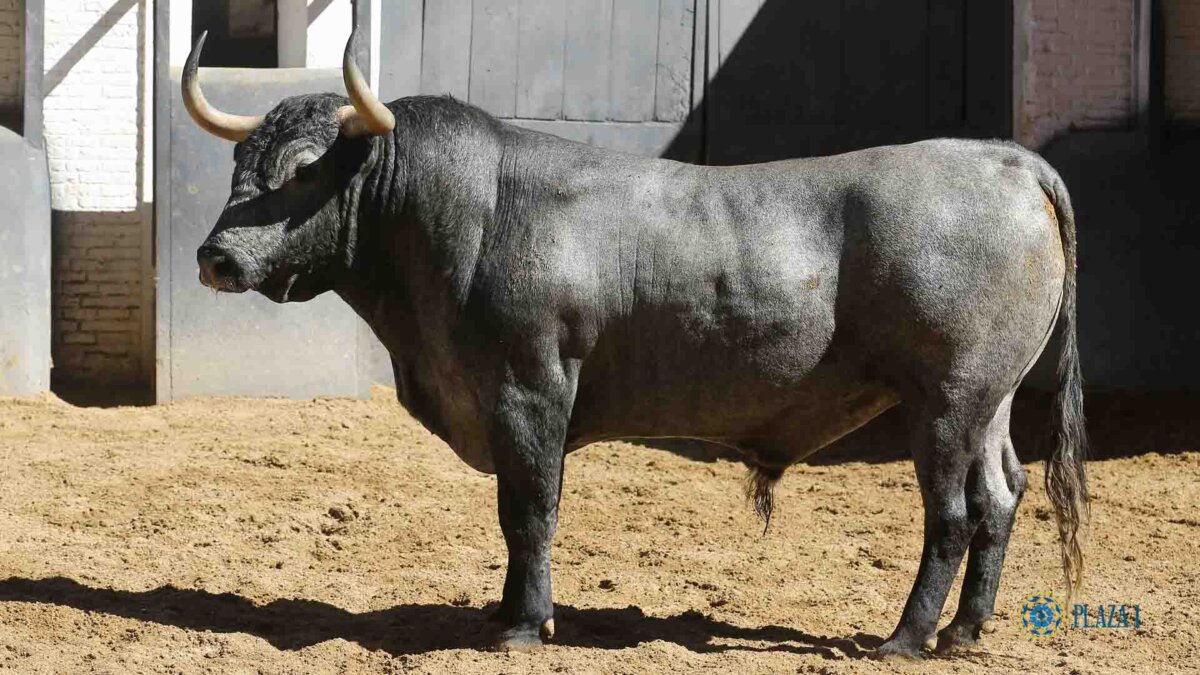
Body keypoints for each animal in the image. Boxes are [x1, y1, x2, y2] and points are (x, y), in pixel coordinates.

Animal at [183, 29, 1089, 657]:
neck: (464, 215)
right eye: (240, 161)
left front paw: (525, 625)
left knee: (951, 512)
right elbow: (514, 510)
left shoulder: (531, 387)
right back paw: (964, 631)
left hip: (945, 400)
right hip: (988, 401)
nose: (216, 256)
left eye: (305, 167)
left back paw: (903, 638)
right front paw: (503, 611)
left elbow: (530, 508)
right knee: (1000, 496)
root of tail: (1003, 161)